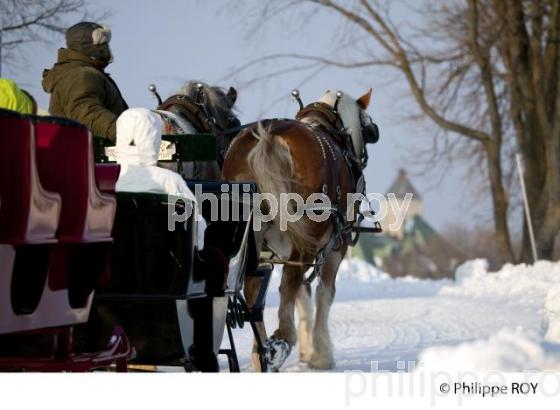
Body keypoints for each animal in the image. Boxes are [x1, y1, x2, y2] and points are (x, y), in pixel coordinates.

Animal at [222, 88, 376, 370]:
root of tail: (269, 136)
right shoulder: (336, 244)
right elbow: (324, 293)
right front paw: (321, 354)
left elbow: (301, 292)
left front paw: (308, 350)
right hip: (307, 235)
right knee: (288, 281)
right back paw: (281, 341)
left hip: (253, 233)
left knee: (253, 288)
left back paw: (262, 352)